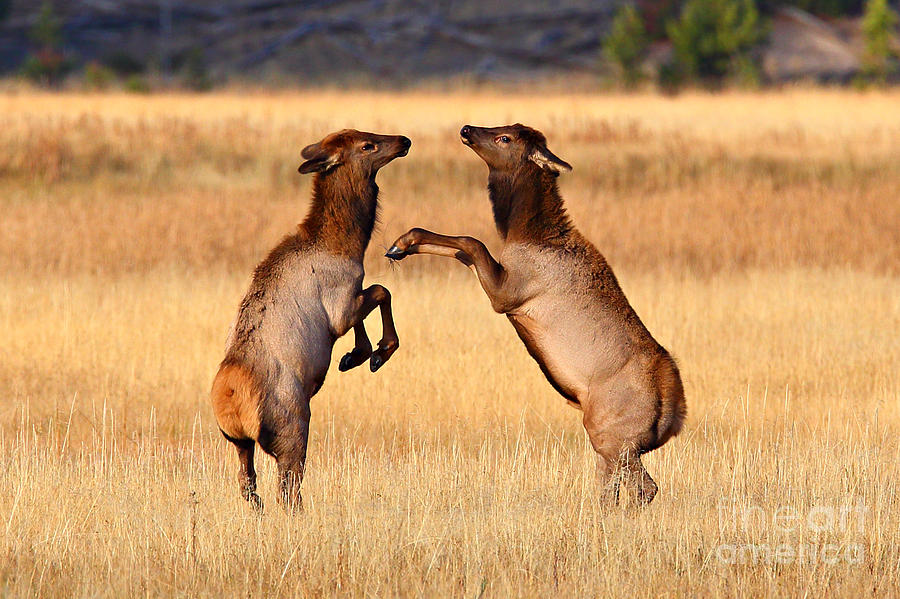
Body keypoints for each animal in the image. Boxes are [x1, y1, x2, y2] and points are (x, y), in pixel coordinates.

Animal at [209, 129, 410, 512]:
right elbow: (383, 291)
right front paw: (377, 353)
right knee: (288, 488)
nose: (404, 140)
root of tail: (231, 406)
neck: (346, 245)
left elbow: (373, 298)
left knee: (247, 483)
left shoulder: (349, 297)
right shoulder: (341, 305)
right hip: (292, 425)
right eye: (368, 145)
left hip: (239, 442)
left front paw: (354, 355)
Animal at [384, 125, 684, 506]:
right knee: (612, 488)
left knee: (645, 487)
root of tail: (674, 416)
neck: (523, 232)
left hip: (611, 433)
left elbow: (470, 241)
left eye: (505, 139)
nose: (467, 129)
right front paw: (400, 244)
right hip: (608, 443)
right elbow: (460, 248)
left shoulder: (509, 293)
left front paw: (401, 243)